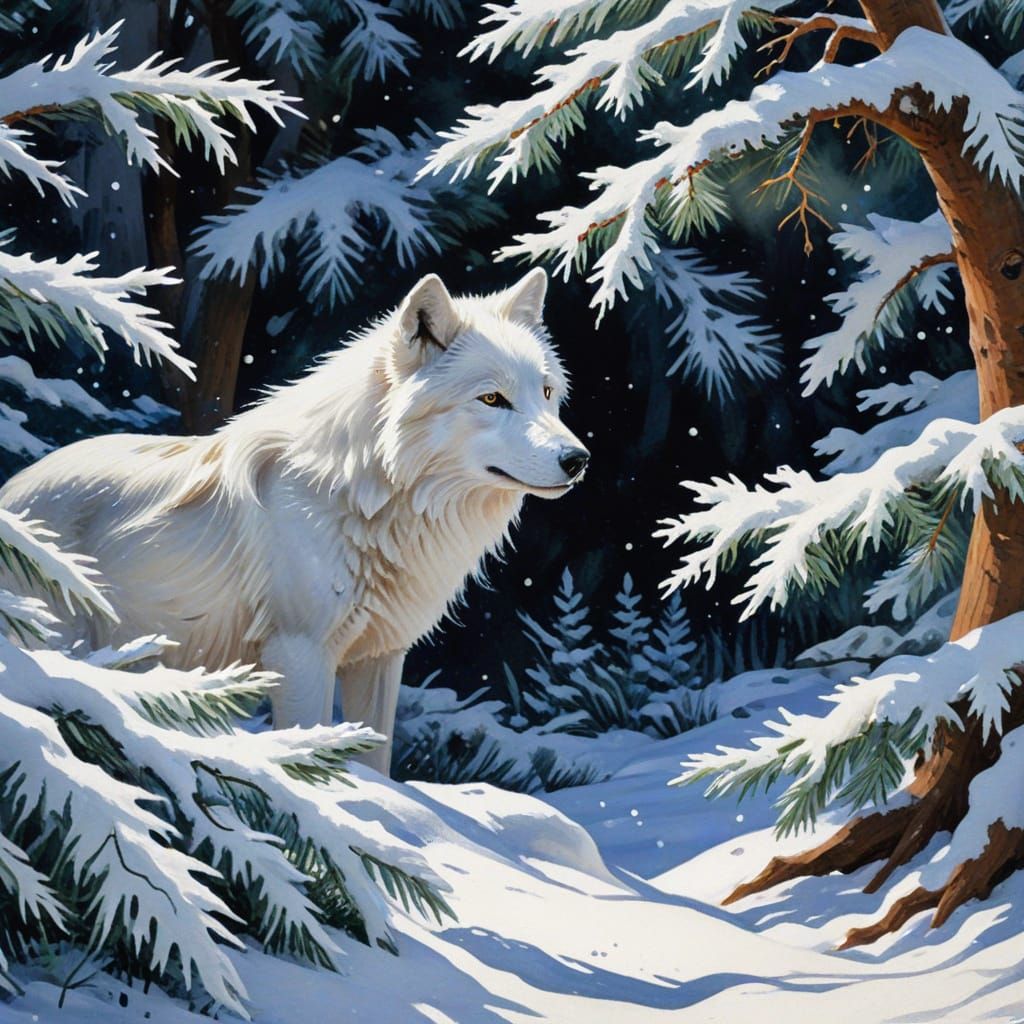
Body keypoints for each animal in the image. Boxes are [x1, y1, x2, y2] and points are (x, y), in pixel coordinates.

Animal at [0, 270, 588, 774]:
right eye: (492, 398)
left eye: (546, 393)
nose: (578, 460)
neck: (368, 498)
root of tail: (13, 488)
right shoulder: (299, 653)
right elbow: (312, 749)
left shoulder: (378, 657)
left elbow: (376, 762)